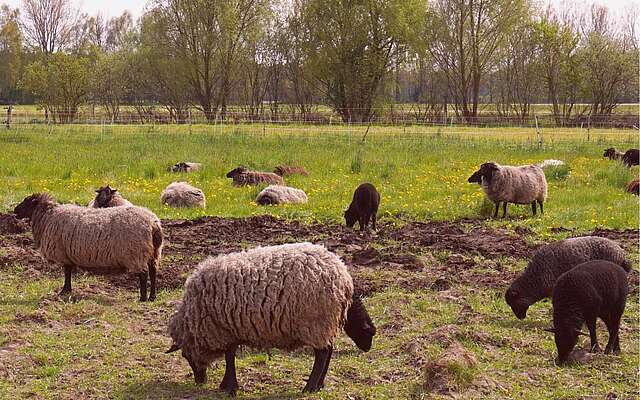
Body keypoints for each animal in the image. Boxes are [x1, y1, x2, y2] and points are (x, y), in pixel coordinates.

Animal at [14, 193, 164, 300]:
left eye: (26, 201)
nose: (15, 211)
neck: (47, 216)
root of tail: (153, 223)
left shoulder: (63, 253)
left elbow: (67, 271)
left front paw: (65, 290)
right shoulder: (67, 254)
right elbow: (68, 271)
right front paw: (67, 290)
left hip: (136, 253)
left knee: (144, 275)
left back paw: (143, 298)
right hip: (154, 253)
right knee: (153, 272)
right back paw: (152, 297)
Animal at [165, 242, 376, 396]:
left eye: (185, 355)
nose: (199, 382)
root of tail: (343, 276)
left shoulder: (225, 330)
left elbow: (229, 356)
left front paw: (230, 386)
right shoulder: (231, 329)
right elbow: (230, 355)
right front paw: (227, 384)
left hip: (316, 322)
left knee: (322, 354)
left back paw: (309, 387)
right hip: (322, 324)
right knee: (328, 350)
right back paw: (319, 385)